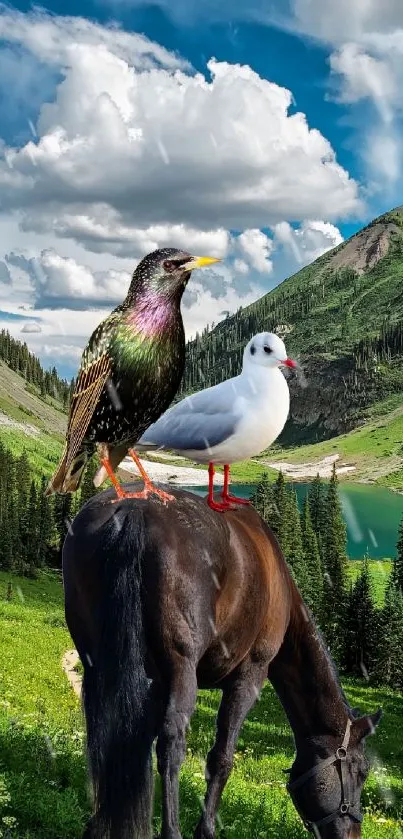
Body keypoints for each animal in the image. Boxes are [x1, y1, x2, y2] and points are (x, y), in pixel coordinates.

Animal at [62, 486, 382, 839]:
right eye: (360, 771)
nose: (354, 832)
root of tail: (134, 510)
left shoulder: (154, 682)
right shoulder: (249, 677)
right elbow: (222, 757)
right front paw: (206, 829)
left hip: (97, 662)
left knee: (103, 733)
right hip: (182, 671)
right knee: (172, 745)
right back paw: (171, 831)